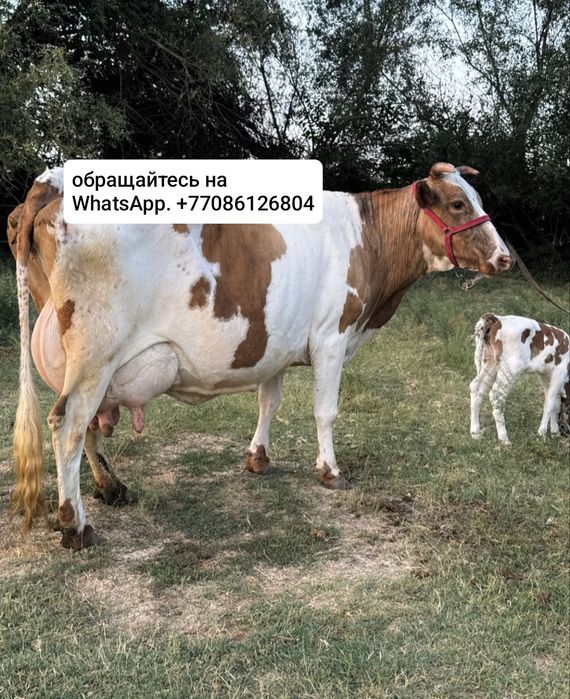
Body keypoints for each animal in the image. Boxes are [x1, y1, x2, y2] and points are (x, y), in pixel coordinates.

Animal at [9, 162, 512, 549]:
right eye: (458, 204)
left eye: (475, 197)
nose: (505, 258)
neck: (366, 238)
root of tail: (52, 180)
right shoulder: (332, 338)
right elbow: (325, 411)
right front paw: (329, 470)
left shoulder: (275, 343)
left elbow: (269, 401)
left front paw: (258, 457)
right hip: (97, 352)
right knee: (69, 424)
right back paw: (76, 525)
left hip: (85, 362)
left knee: (88, 426)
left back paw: (110, 489)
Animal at [470, 314, 570, 444]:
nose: (566, 432)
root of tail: (497, 318)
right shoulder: (560, 372)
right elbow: (550, 403)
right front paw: (542, 434)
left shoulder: (544, 375)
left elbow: (551, 402)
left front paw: (554, 432)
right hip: (510, 369)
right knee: (496, 395)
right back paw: (504, 438)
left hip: (490, 362)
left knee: (477, 388)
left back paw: (475, 432)